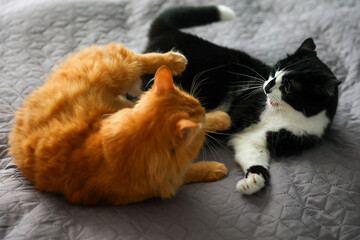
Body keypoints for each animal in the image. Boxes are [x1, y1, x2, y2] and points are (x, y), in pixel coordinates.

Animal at [9, 42, 231, 204]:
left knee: (139, 58)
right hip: (116, 68)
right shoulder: (164, 182)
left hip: (117, 68)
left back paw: (174, 60)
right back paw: (176, 60)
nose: (202, 109)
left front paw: (220, 117)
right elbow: (191, 171)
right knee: (134, 58)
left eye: (199, 103)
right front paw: (214, 167)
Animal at [143, 4, 340, 194]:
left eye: (287, 87)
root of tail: (167, 31)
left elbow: (254, 155)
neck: (283, 115)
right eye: (275, 71)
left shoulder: (256, 139)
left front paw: (254, 180)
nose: (266, 87)